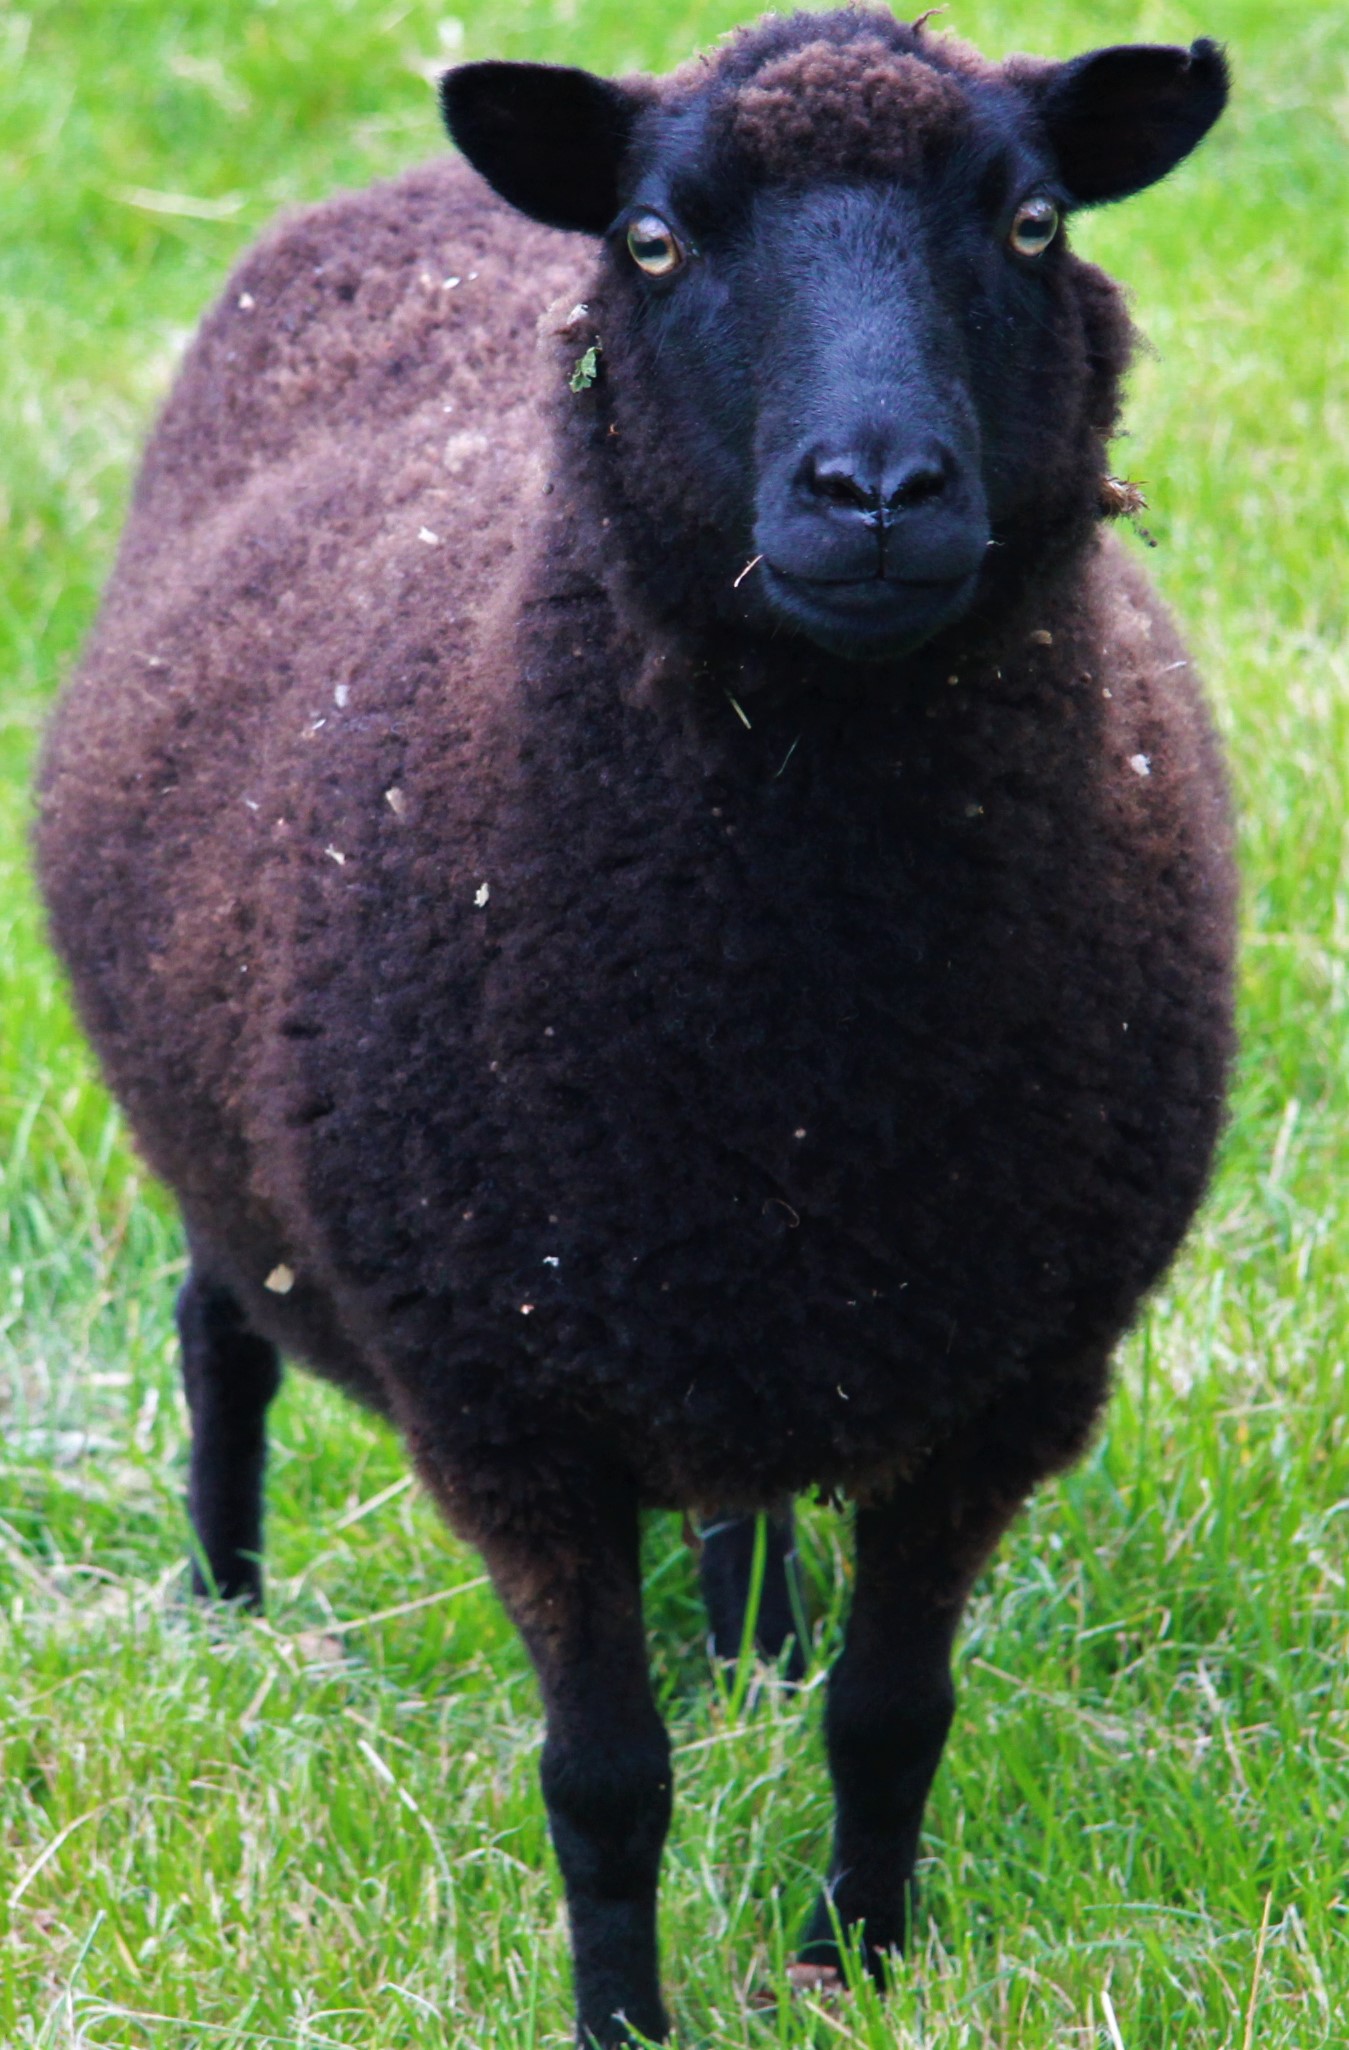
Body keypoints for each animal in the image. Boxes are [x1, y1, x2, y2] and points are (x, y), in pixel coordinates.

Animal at [34, 8, 1230, 2041]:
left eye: (1032, 220)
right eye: (659, 244)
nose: (875, 495)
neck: (809, 1032)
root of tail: (414, 181)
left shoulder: (1006, 1383)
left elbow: (893, 1715)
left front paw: (855, 1959)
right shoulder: (503, 1400)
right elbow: (601, 1780)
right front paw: (620, 2017)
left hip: (725, 1298)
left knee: (743, 1500)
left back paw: (751, 1647)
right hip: (233, 1153)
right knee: (219, 1338)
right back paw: (227, 1602)